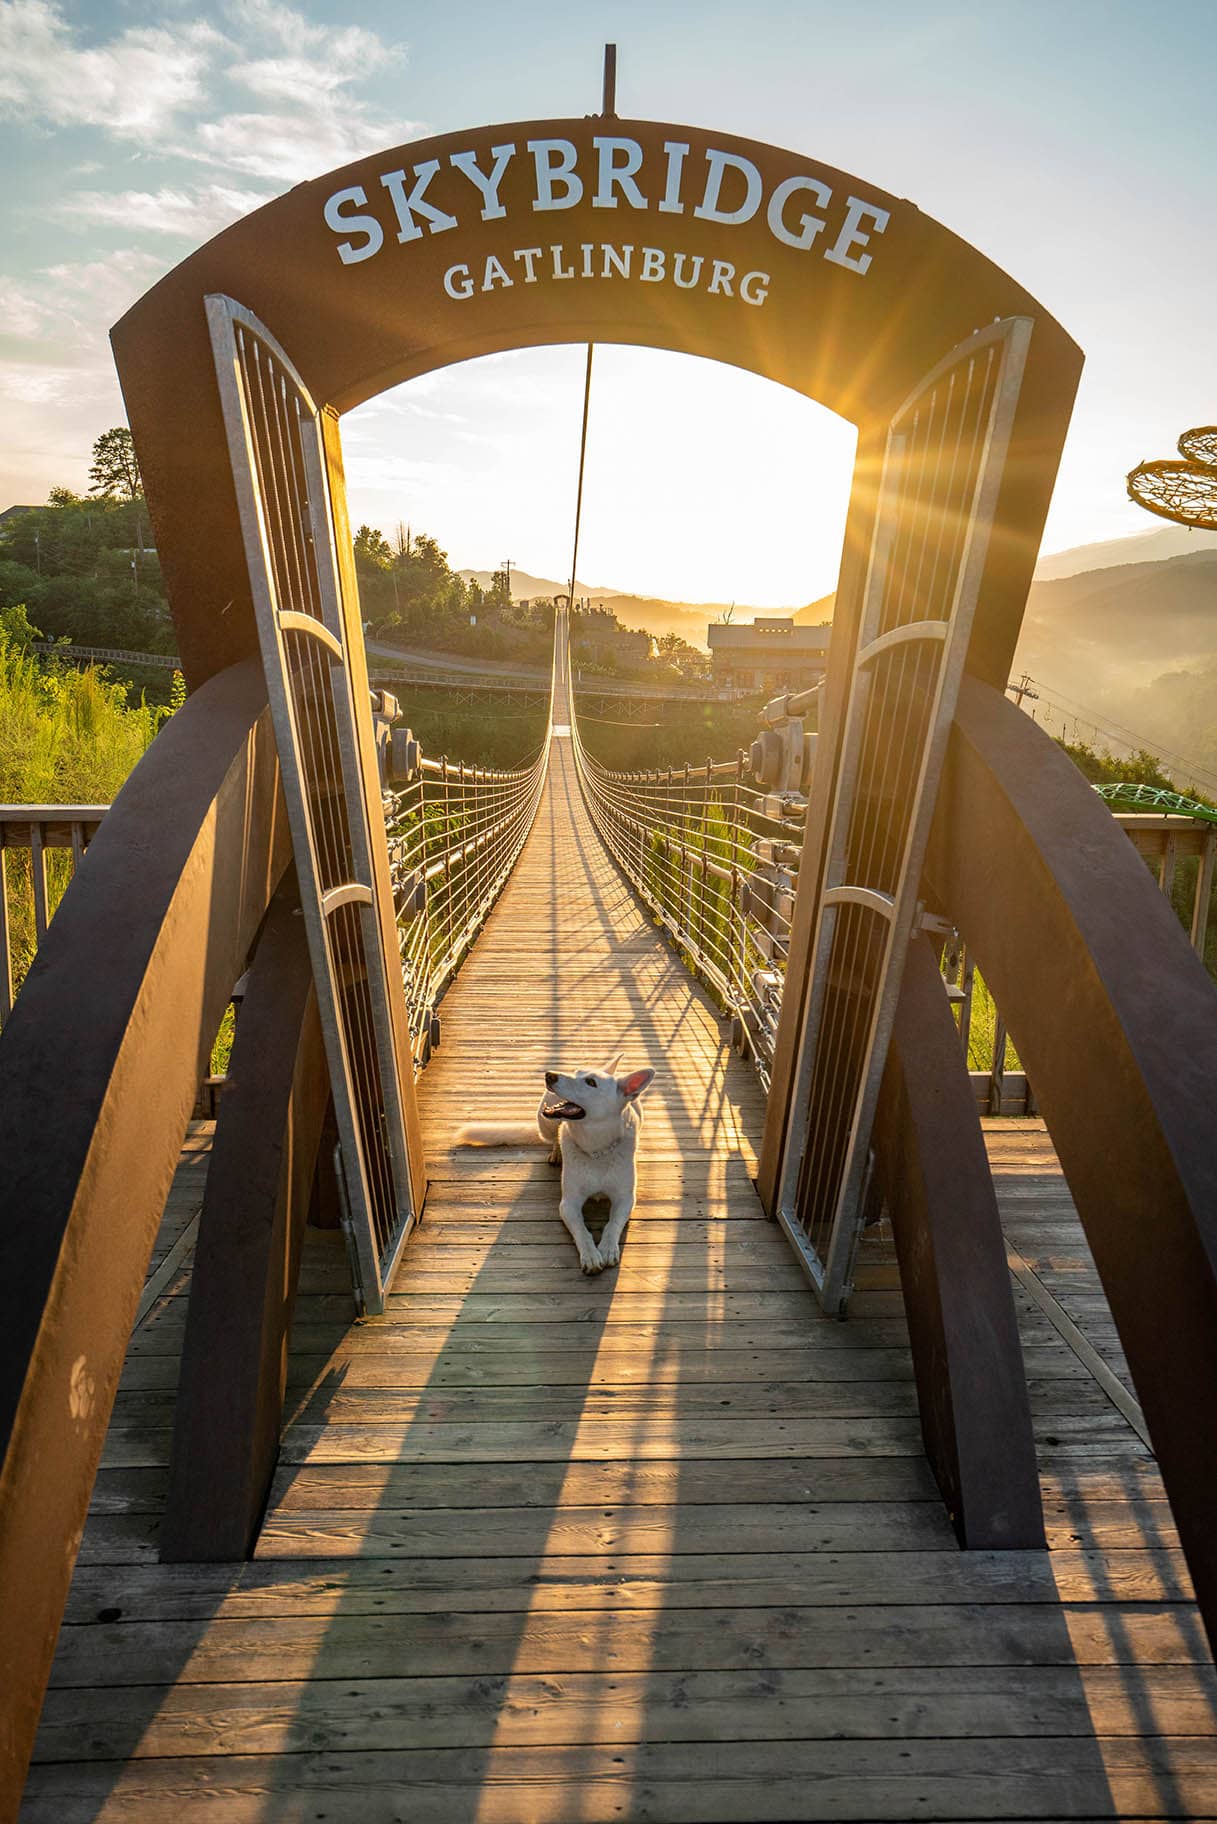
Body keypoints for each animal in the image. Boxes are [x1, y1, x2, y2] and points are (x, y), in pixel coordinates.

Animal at [454, 1065, 653, 1276]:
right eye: (577, 1071)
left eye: (591, 1082)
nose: (550, 1075)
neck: (596, 1149)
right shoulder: (568, 1204)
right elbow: (582, 1231)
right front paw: (591, 1255)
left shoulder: (625, 1199)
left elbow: (613, 1223)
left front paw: (607, 1248)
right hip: (546, 1122)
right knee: (555, 1137)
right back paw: (557, 1153)